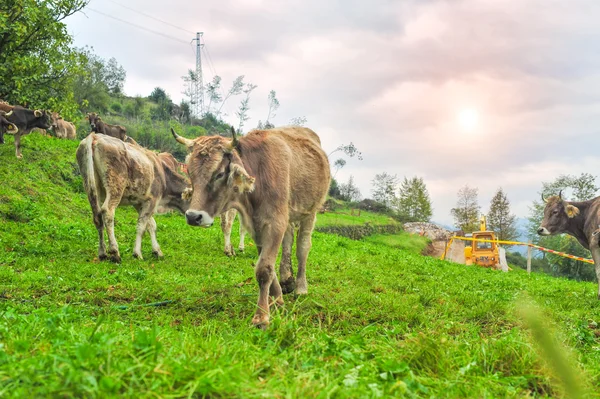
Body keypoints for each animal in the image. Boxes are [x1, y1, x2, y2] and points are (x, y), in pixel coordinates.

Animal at [171, 126, 330, 328]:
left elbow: (264, 269)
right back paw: (287, 279)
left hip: (310, 212)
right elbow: (266, 264)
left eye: (219, 174)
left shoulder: (274, 223)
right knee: (288, 241)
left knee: (303, 247)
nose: (193, 216)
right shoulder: (258, 227)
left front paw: (261, 316)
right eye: (190, 173)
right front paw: (277, 300)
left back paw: (301, 287)